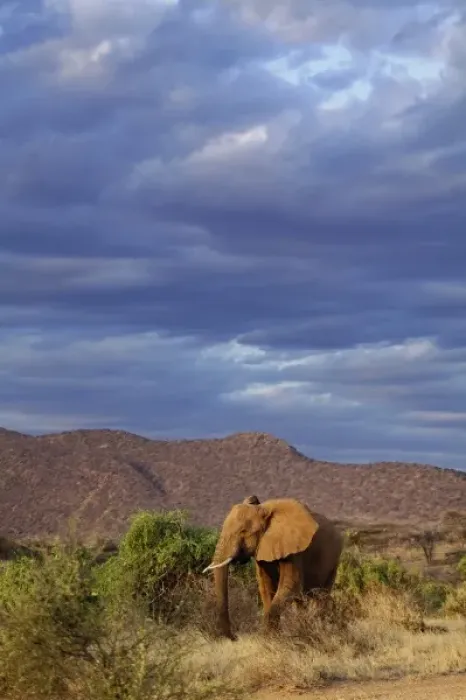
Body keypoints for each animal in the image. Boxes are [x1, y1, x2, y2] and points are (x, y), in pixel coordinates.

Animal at [203, 495, 343, 640]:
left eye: (243, 531)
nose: (235, 637)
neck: (263, 510)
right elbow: (265, 588)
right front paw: (271, 636)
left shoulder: (294, 549)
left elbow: (291, 587)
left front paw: (267, 637)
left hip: (334, 560)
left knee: (321, 595)